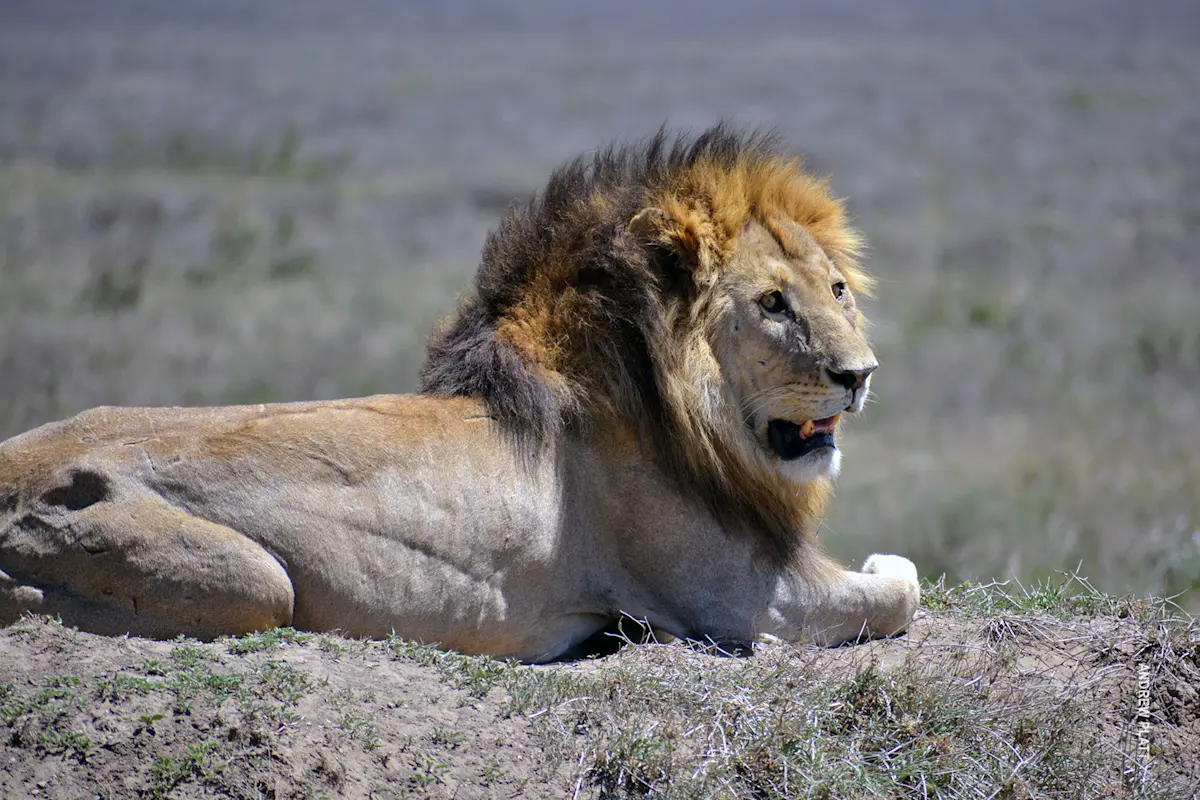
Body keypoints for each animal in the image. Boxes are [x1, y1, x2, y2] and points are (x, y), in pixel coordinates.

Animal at [0, 126, 919, 662]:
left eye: (838, 290)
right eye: (772, 304)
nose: (860, 374)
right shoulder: (742, 602)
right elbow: (898, 589)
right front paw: (886, 561)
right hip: (250, 585)